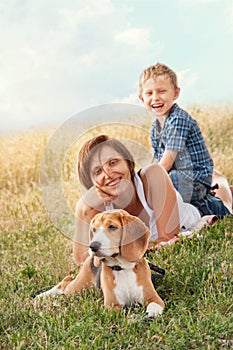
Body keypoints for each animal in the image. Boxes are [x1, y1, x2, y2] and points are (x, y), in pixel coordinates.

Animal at [36, 209, 164, 318]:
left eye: (112, 227)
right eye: (94, 229)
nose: (92, 246)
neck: (122, 268)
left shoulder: (154, 298)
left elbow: (154, 307)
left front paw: (150, 314)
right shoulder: (112, 306)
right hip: (78, 287)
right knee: (65, 282)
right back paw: (42, 295)